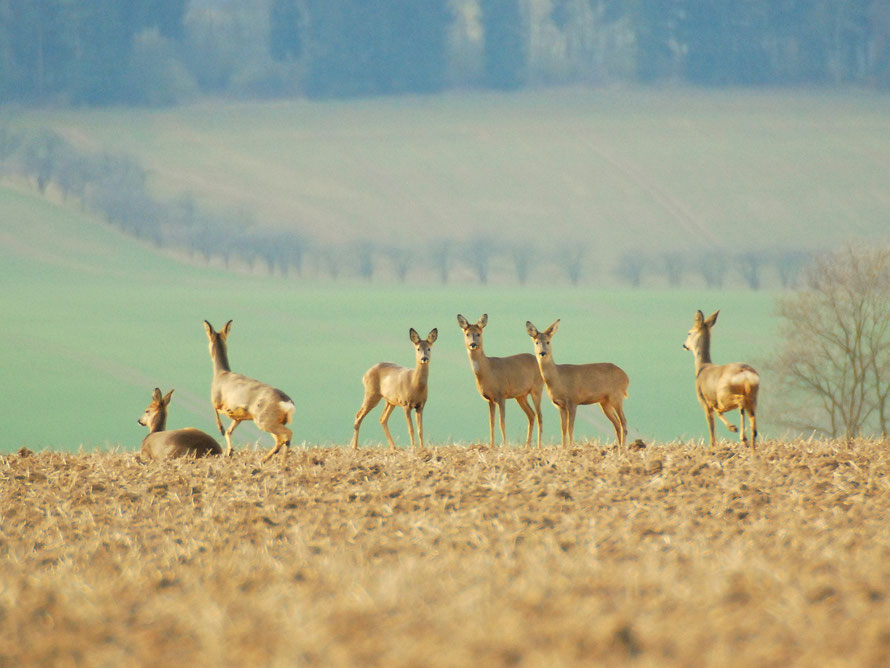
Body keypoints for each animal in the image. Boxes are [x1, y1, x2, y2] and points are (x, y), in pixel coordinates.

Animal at [204, 320, 294, 462]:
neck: (221, 373)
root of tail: (287, 403)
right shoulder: (238, 418)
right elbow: (230, 431)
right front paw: (230, 451)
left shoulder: (217, 401)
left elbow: (216, 412)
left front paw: (221, 430)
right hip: (272, 422)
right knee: (280, 439)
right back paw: (265, 459)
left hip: (264, 420)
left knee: (286, 435)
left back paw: (280, 461)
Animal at [458, 314, 540, 448]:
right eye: (467, 334)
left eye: (478, 333)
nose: (473, 344)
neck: (488, 371)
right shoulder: (489, 399)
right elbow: (491, 423)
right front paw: (491, 445)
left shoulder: (501, 395)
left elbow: (502, 422)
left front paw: (505, 445)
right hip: (520, 395)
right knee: (531, 414)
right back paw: (527, 445)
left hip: (536, 389)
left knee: (537, 415)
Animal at [524, 320, 628, 448]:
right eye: (536, 342)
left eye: (548, 341)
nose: (542, 353)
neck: (558, 378)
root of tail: (626, 377)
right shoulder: (559, 405)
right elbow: (563, 428)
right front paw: (564, 447)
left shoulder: (573, 401)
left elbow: (570, 427)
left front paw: (571, 446)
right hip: (604, 402)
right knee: (617, 424)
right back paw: (618, 446)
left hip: (616, 396)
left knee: (623, 421)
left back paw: (623, 447)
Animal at [680, 310, 756, 448]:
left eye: (689, 332)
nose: (684, 345)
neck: (702, 367)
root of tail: (745, 372)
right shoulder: (714, 402)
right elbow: (718, 412)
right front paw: (732, 428)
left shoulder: (704, 401)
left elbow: (711, 425)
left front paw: (713, 445)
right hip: (753, 395)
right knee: (751, 414)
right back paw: (752, 441)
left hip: (724, 394)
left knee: (740, 402)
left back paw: (743, 438)